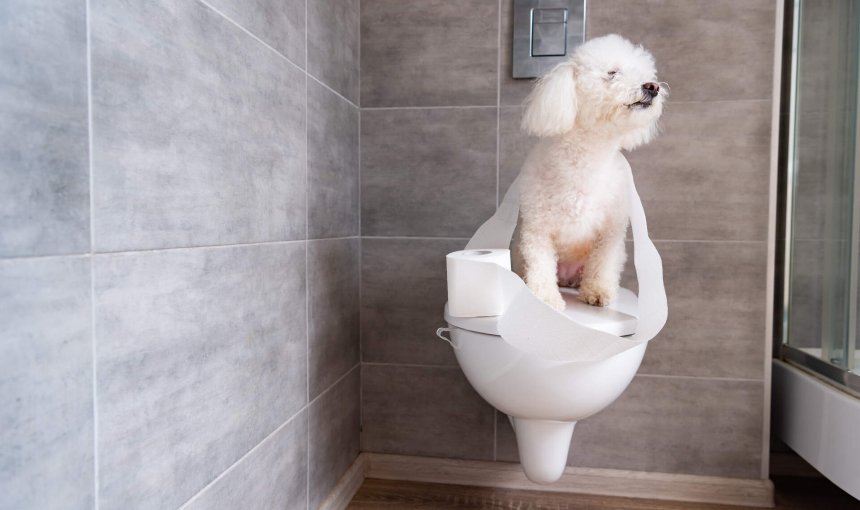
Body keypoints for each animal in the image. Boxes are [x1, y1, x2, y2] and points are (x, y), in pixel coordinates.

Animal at [510, 33, 664, 310]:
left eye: (644, 73)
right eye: (612, 73)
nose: (652, 87)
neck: (588, 155)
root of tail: (567, 277)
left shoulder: (611, 229)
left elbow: (603, 262)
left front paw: (598, 292)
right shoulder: (537, 227)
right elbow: (540, 265)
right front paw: (544, 299)